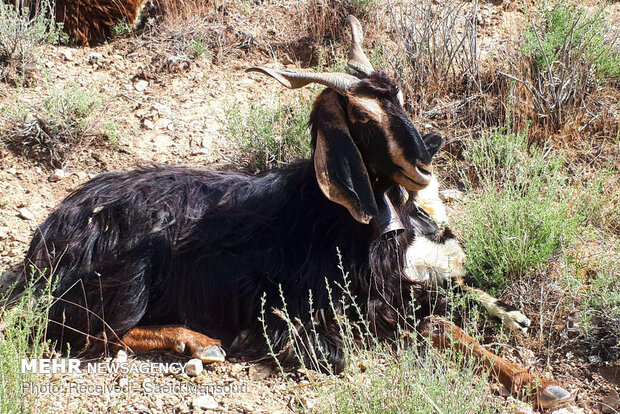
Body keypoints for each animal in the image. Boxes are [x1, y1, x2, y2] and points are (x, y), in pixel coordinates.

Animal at [1, 17, 572, 410]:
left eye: (401, 101)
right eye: (363, 120)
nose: (423, 162)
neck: (338, 220)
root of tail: (44, 241)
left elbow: (453, 301)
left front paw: (538, 373)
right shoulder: (339, 310)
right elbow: (417, 330)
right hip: (128, 275)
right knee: (82, 330)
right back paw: (198, 341)